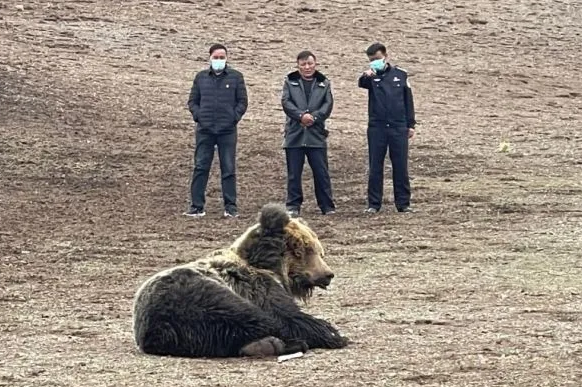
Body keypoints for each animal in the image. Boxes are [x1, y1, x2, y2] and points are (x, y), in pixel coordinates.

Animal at [132, 205, 350, 360]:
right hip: (198, 296)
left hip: (193, 330)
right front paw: (332, 333)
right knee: (251, 318)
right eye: (307, 250)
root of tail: (155, 327)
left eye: (319, 250)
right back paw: (284, 343)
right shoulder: (260, 287)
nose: (328, 274)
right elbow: (288, 315)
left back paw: (264, 345)